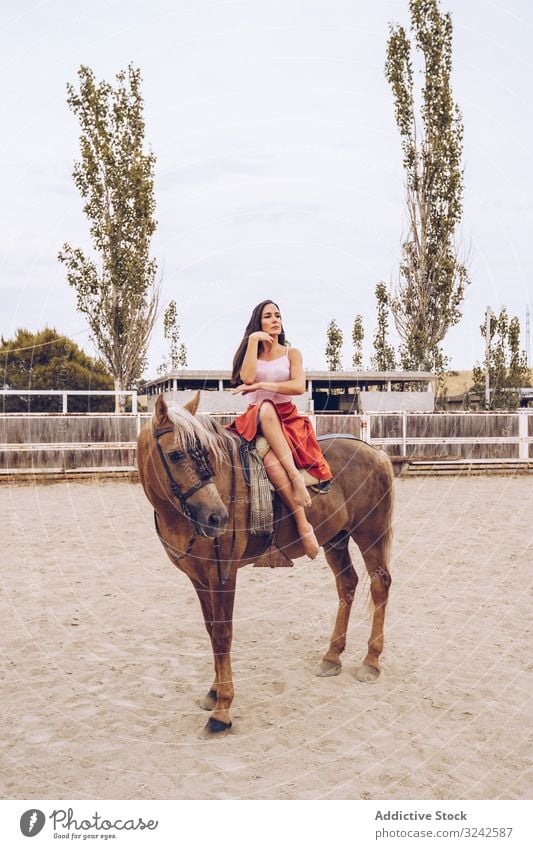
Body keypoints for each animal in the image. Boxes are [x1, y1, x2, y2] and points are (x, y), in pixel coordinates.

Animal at [136, 394, 394, 732]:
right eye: (176, 454)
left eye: (204, 453)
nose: (217, 517)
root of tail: (376, 453)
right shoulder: (199, 578)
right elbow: (211, 631)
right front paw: (213, 692)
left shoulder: (223, 575)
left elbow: (223, 634)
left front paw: (222, 710)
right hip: (336, 539)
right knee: (347, 584)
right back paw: (332, 656)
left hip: (370, 536)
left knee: (379, 585)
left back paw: (371, 661)